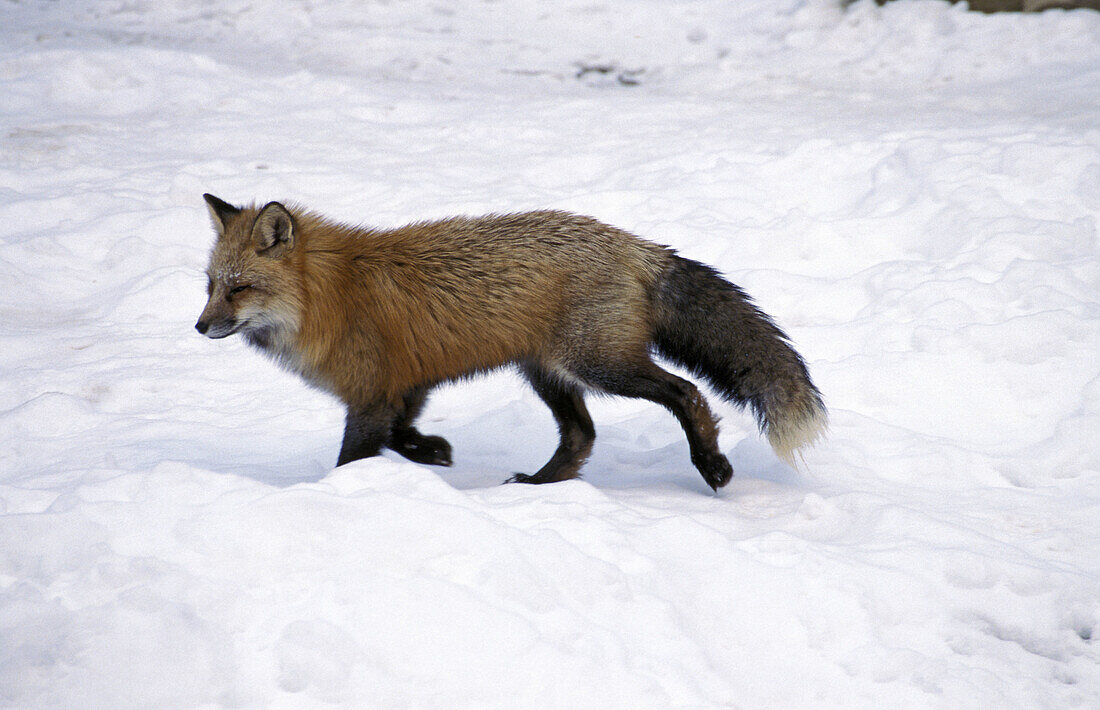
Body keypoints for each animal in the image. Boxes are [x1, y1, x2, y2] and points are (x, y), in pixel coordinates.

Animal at [198, 197, 827, 490]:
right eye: (209, 286)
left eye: (240, 288)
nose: (200, 328)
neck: (329, 295)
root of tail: (632, 242)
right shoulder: (407, 383)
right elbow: (403, 434)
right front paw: (433, 452)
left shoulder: (372, 394)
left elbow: (355, 456)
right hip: (546, 371)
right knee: (582, 434)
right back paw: (541, 487)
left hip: (598, 364)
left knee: (687, 393)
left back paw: (712, 465)